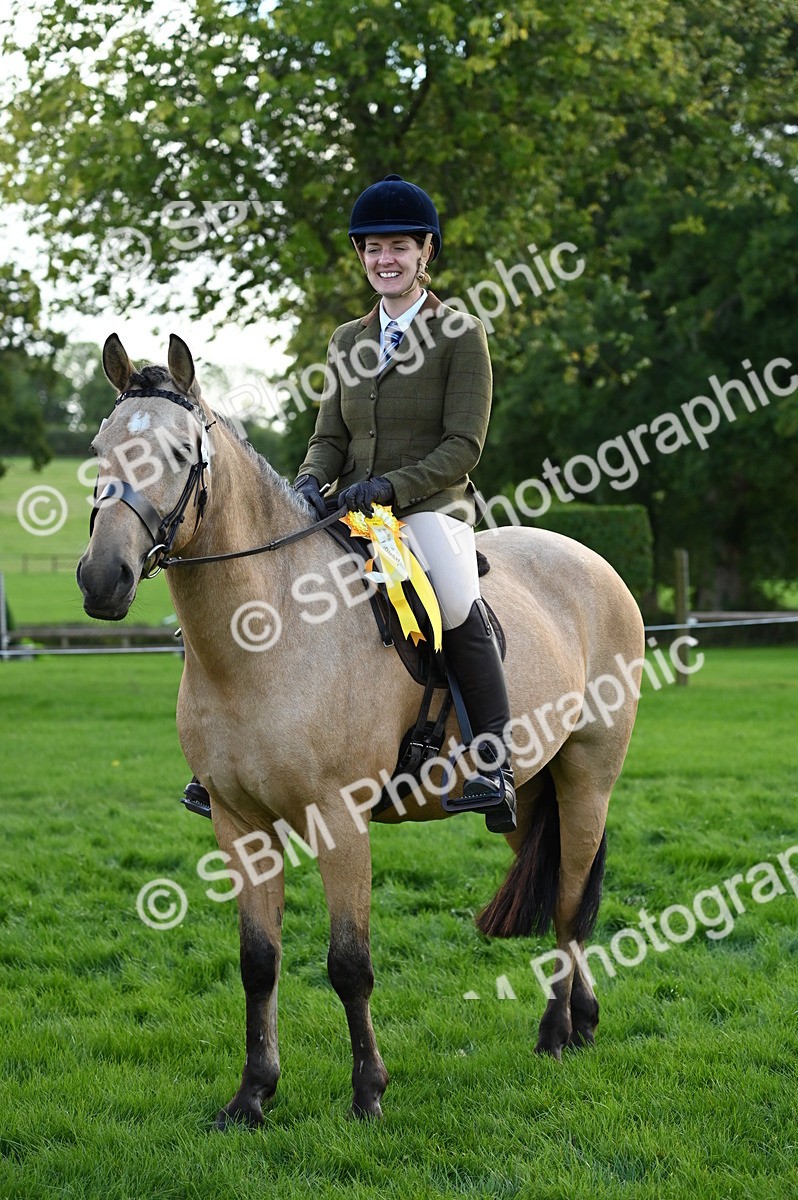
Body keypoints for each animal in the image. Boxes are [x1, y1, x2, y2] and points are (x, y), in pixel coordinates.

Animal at [77, 333, 645, 1129]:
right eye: (99, 449)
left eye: (181, 451)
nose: (103, 580)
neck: (268, 629)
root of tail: (589, 559)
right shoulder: (237, 823)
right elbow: (258, 963)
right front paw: (251, 1096)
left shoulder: (340, 820)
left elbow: (349, 964)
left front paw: (368, 1091)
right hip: (530, 792)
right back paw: (579, 1021)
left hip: (589, 777)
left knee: (569, 904)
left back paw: (560, 1033)